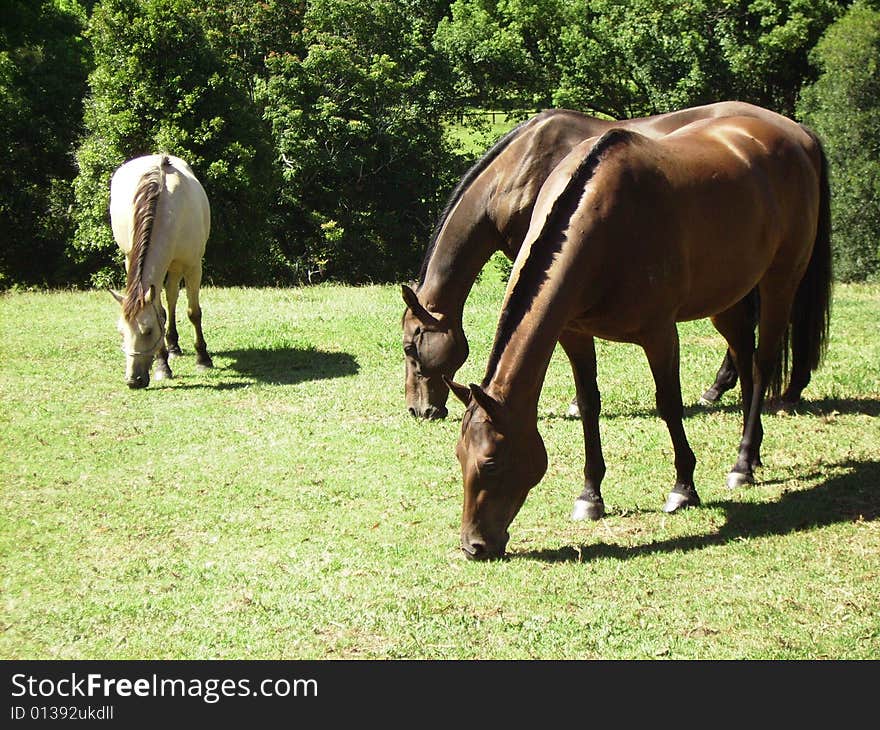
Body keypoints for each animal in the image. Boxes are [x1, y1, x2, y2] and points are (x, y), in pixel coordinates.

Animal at [110, 153, 213, 386]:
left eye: (147, 331)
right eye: (121, 332)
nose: (133, 381)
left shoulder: (193, 266)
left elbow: (194, 313)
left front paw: (203, 359)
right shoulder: (134, 265)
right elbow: (160, 312)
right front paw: (162, 365)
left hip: (176, 266)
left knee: (173, 296)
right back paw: (172, 348)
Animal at [446, 115, 832, 556]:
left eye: (491, 461)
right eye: (459, 455)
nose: (473, 545)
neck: (603, 224)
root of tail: (798, 135)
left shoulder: (659, 334)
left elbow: (669, 405)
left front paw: (683, 488)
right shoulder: (573, 333)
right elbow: (589, 404)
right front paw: (590, 495)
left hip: (780, 282)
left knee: (764, 363)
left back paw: (742, 464)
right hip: (729, 298)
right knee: (746, 363)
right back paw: (750, 458)